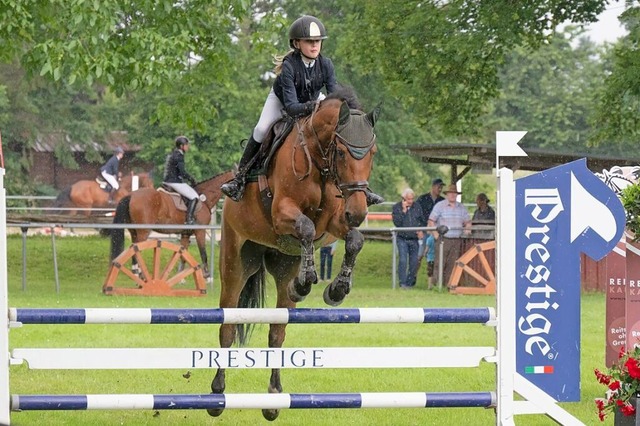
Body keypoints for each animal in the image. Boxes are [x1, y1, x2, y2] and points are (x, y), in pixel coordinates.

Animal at [210, 88, 380, 422]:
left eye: (372, 153)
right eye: (342, 153)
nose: (358, 212)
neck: (319, 161)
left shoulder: (334, 223)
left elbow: (353, 239)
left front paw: (336, 289)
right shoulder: (282, 214)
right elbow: (304, 227)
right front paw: (308, 281)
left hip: (283, 264)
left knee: (277, 332)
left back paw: (274, 399)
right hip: (236, 263)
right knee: (228, 325)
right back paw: (217, 392)